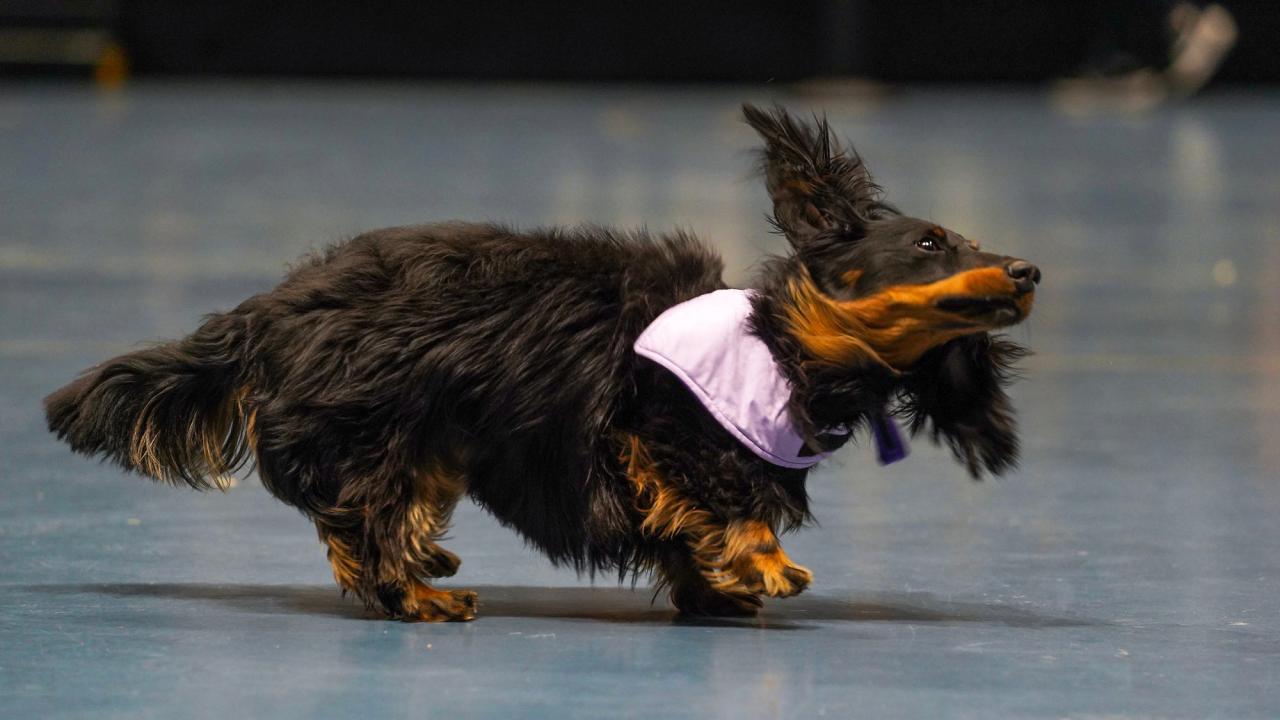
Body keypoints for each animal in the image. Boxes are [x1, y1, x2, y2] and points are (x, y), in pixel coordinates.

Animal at [45, 103, 1039, 620]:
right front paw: (758, 561)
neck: (789, 341)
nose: (1028, 270)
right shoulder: (649, 418)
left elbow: (685, 527)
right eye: (931, 241)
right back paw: (414, 589)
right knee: (358, 518)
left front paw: (713, 588)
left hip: (423, 440)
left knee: (361, 518)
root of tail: (273, 308)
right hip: (378, 420)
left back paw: (420, 566)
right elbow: (723, 496)